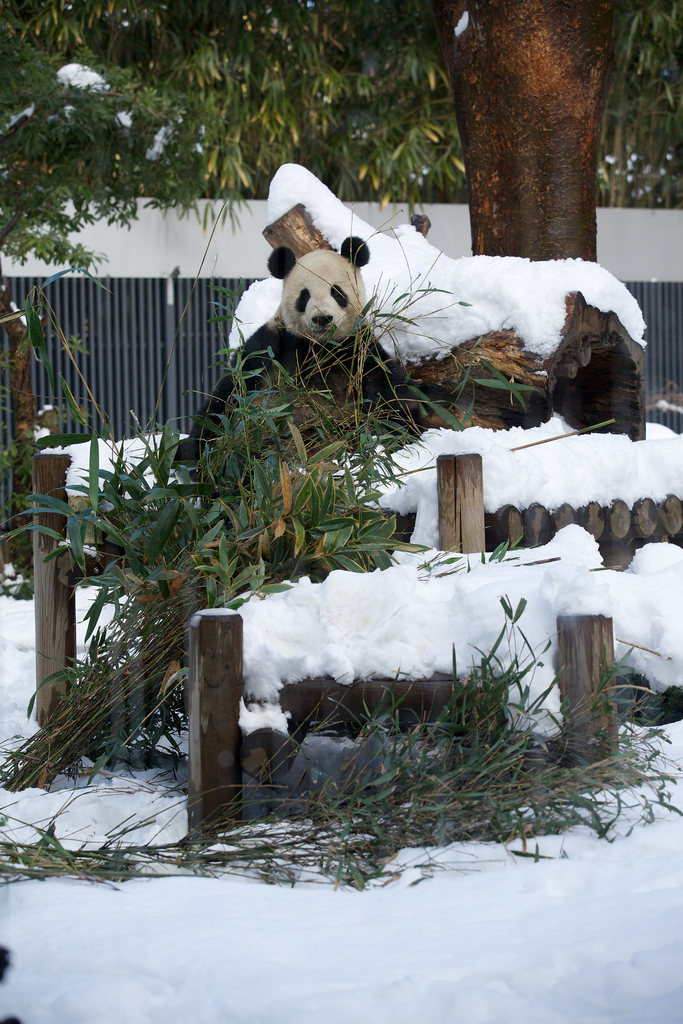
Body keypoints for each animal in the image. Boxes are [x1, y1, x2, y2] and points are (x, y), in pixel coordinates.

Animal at [178, 235, 417, 460]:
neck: (320, 347)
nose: (322, 318)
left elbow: (389, 393)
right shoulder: (271, 347)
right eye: (304, 295)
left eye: (336, 292)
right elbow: (228, 394)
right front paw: (194, 453)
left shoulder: (358, 349)